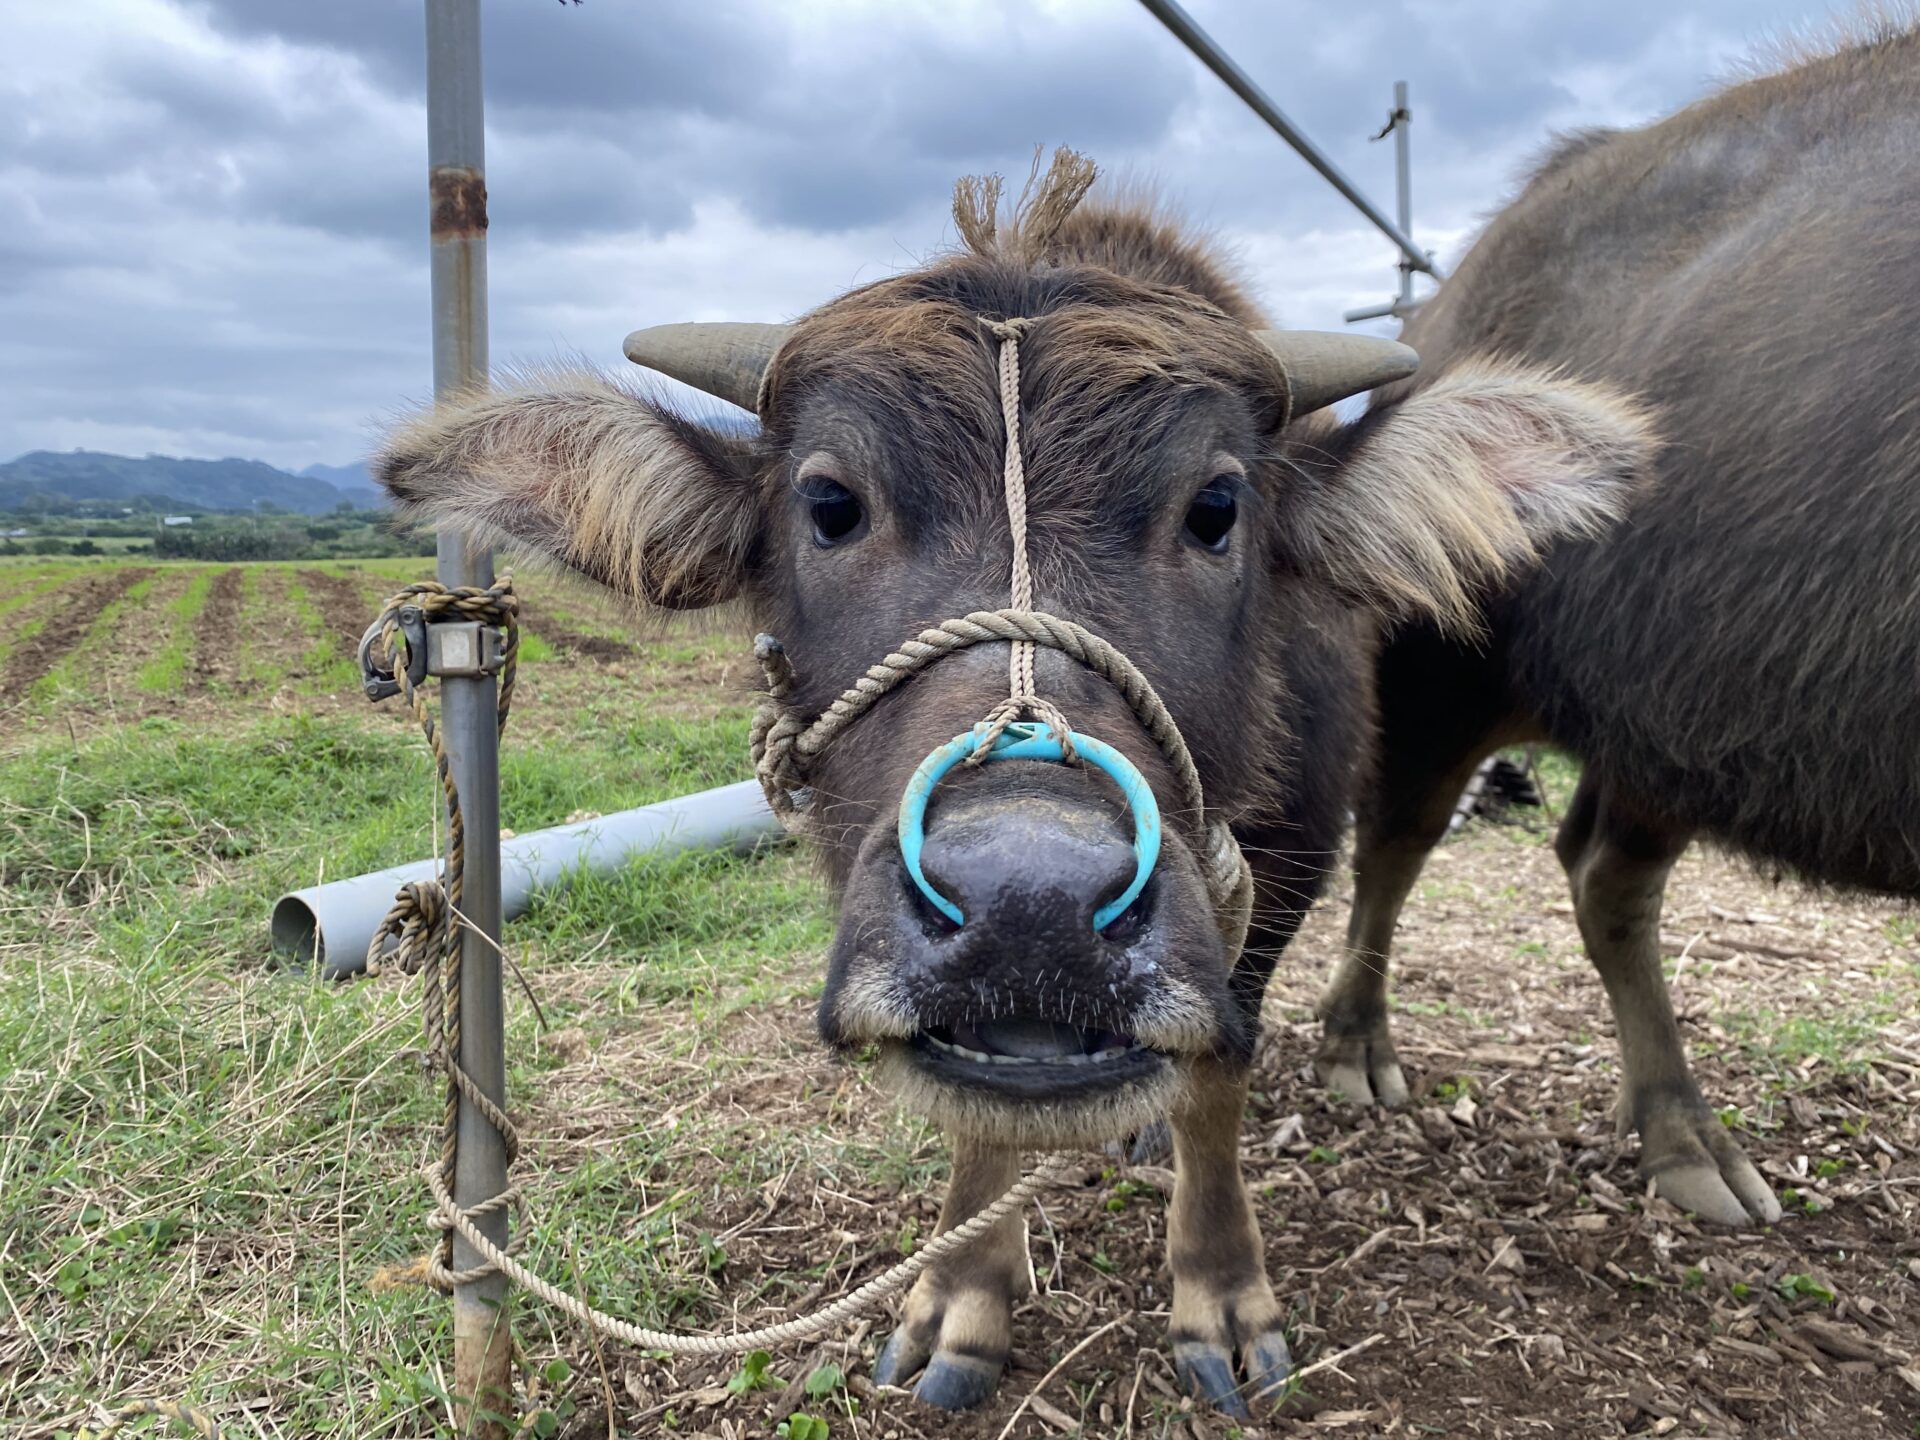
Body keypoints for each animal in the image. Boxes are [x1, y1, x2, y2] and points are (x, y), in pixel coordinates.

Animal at [374, 152, 1651, 1413]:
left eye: (1218, 509)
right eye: (829, 504)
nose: (1028, 906)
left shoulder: (1290, 858)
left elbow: (1221, 1076)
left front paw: (1223, 1299)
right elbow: (977, 1109)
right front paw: (962, 1300)